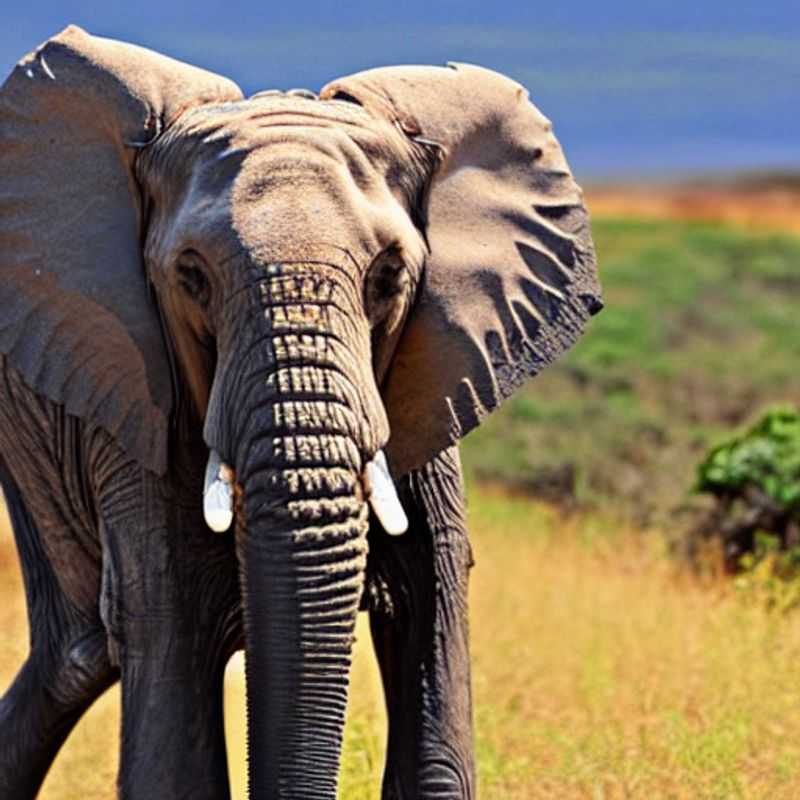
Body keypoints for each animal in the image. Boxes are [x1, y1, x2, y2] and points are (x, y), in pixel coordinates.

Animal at [0, 25, 601, 800]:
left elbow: (433, 631)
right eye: (190, 276)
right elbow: (171, 679)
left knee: (73, 660)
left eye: (388, 277)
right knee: (81, 652)